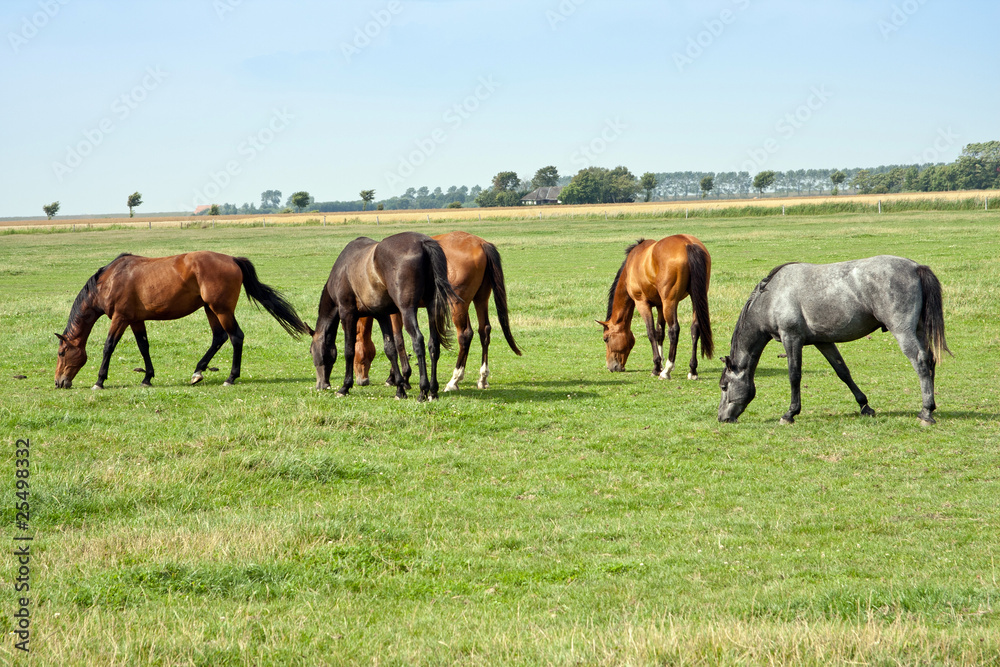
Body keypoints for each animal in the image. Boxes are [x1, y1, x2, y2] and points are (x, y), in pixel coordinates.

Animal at [54, 251, 310, 390]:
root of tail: (232, 259)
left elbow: (109, 346)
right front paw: (147, 377)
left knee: (235, 337)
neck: (109, 280)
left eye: (61, 353)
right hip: (210, 309)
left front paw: (99, 380)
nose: (59, 382)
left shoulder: (120, 318)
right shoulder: (136, 320)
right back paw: (198, 372)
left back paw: (230, 377)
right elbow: (144, 347)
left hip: (221, 309)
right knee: (219, 337)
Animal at [310, 231, 459, 401]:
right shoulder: (382, 315)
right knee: (433, 344)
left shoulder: (347, 313)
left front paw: (345, 387)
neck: (343, 269)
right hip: (432, 308)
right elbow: (390, 349)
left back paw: (423, 390)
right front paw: (400, 388)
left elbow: (349, 350)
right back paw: (433, 391)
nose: (321, 385)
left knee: (418, 341)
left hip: (407, 310)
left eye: (312, 351)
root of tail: (422, 242)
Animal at [352, 231, 522, 391]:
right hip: (480, 299)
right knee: (484, 330)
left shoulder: (396, 312)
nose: (362, 380)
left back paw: (454, 380)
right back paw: (482, 378)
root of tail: (480, 243)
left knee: (465, 335)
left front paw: (401, 378)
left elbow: (398, 341)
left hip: (457, 305)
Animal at [598, 235, 714, 379]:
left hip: (669, 302)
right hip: (695, 297)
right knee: (695, 328)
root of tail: (688, 243)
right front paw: (661, 362)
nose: (611, 367)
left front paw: (657, 367)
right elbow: (659, 333)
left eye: (606, 339)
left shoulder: (642, 303)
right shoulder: (659, 305)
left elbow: (651, 332)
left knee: (674, 330)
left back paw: (666, 371)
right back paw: (692, 370)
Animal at [718, 255, 950, 425]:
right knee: (930, 361)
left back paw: (926, 412)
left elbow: (794, 375)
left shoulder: (791, 338)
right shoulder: (823, 341)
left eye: (724, 387)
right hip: (919, 330)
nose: (722, 418)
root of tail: (915, 267)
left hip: (903, 331)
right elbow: (842, 372)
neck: (771, 296)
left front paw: (790, 413)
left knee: (920, 362)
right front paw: (865, 406)